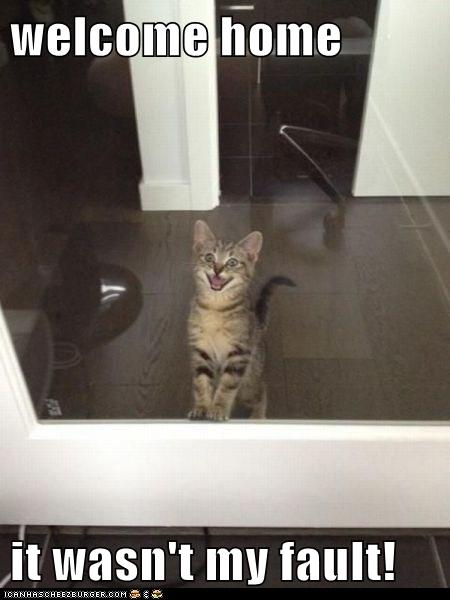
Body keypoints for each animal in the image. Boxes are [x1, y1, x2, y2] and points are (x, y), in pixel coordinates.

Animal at [188, 220, 295, 421]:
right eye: (209, 257)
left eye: (232, 262)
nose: (217, 269)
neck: (215, 308)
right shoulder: (201, 350)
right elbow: (201, 383)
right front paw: (202, 407)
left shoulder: (239, 353)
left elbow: (227, 387)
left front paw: (218, 409)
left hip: (249, 381)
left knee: (261, 390)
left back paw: (258, 417)